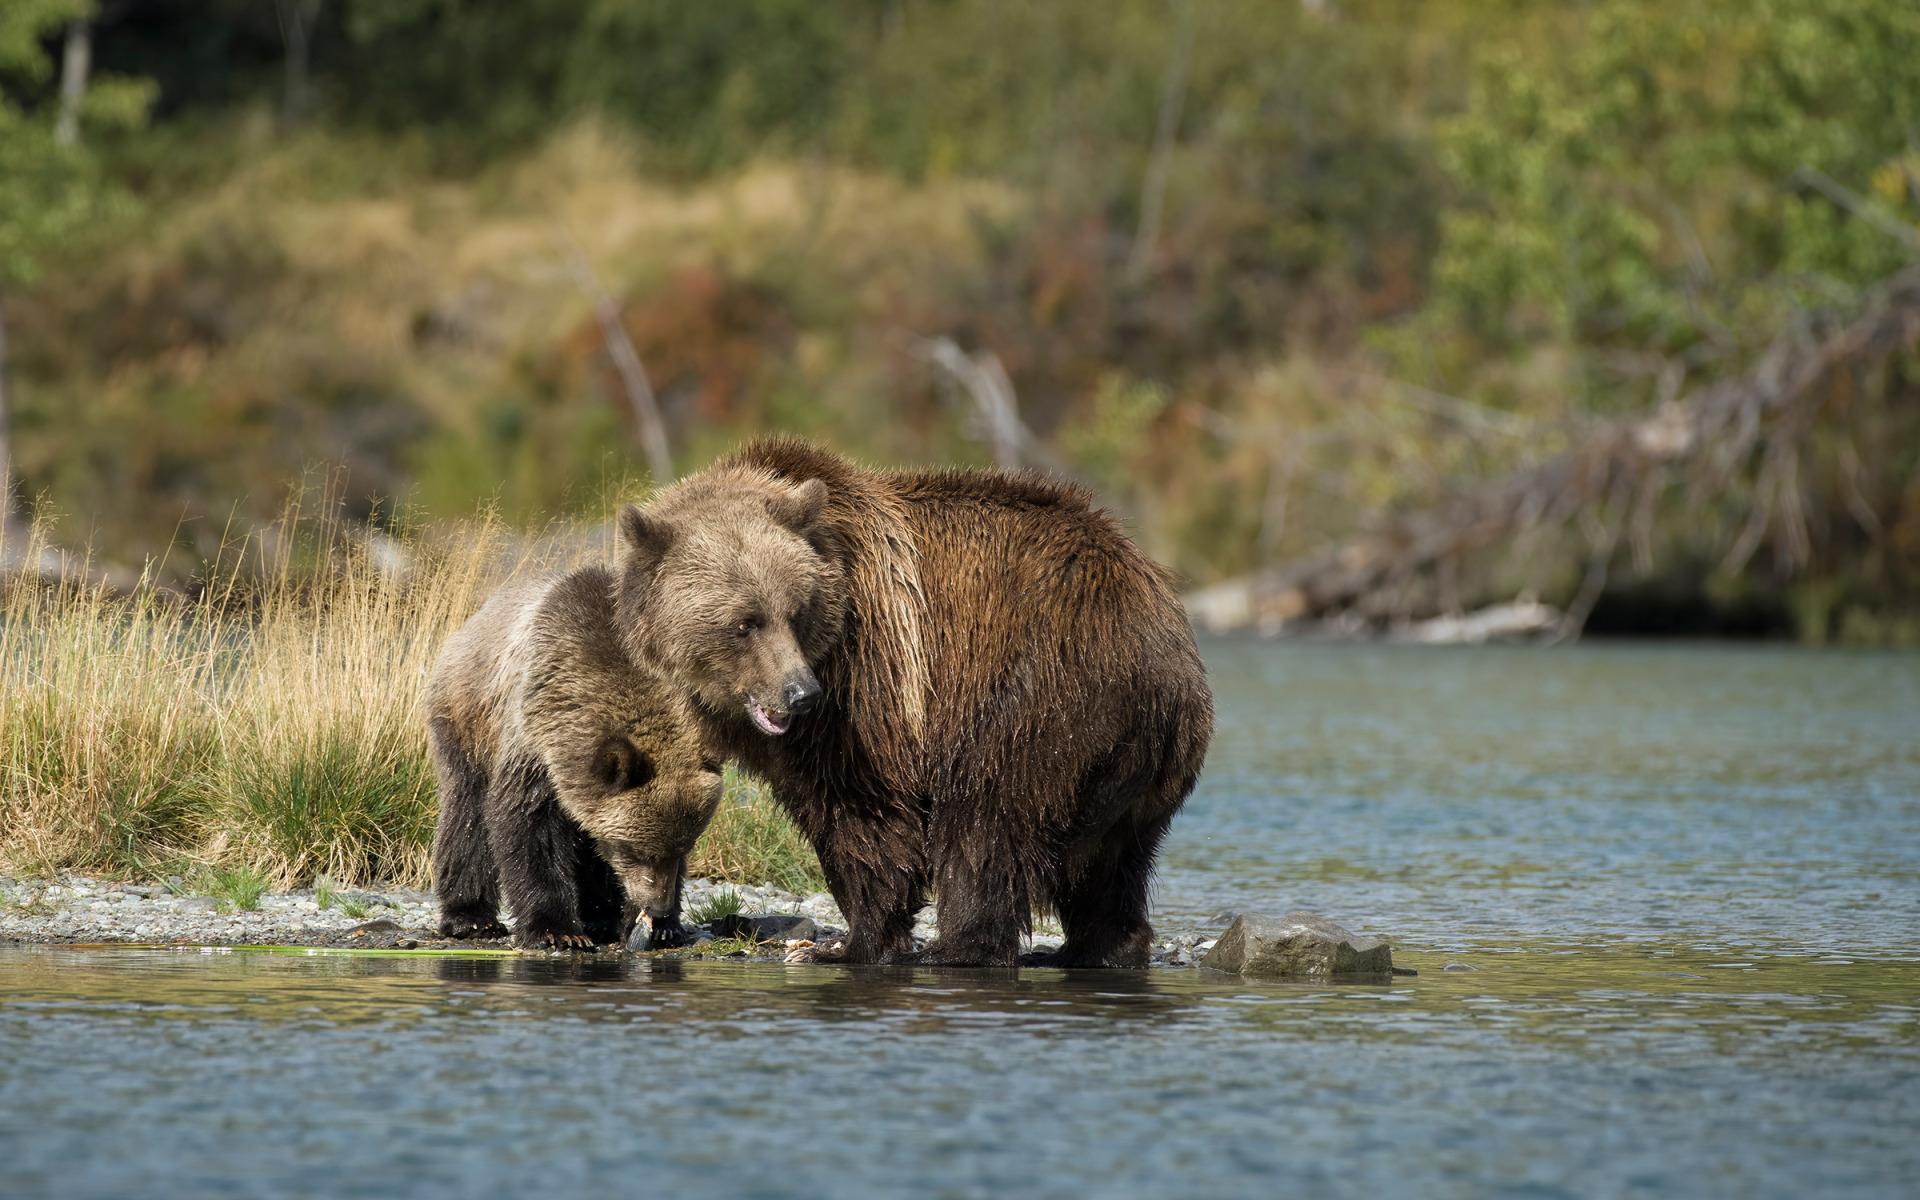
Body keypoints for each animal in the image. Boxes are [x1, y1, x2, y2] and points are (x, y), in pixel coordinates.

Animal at [618, 437, 1213, 963]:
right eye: (746, 622)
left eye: (796, 609)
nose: (800, 693)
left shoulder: (868, 684)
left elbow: (864, 816)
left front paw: (853, 943)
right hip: (1140, 767)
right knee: (1113, 864)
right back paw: (1100, 948)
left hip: (1043, 696)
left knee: (987, 821)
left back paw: (958, 949)